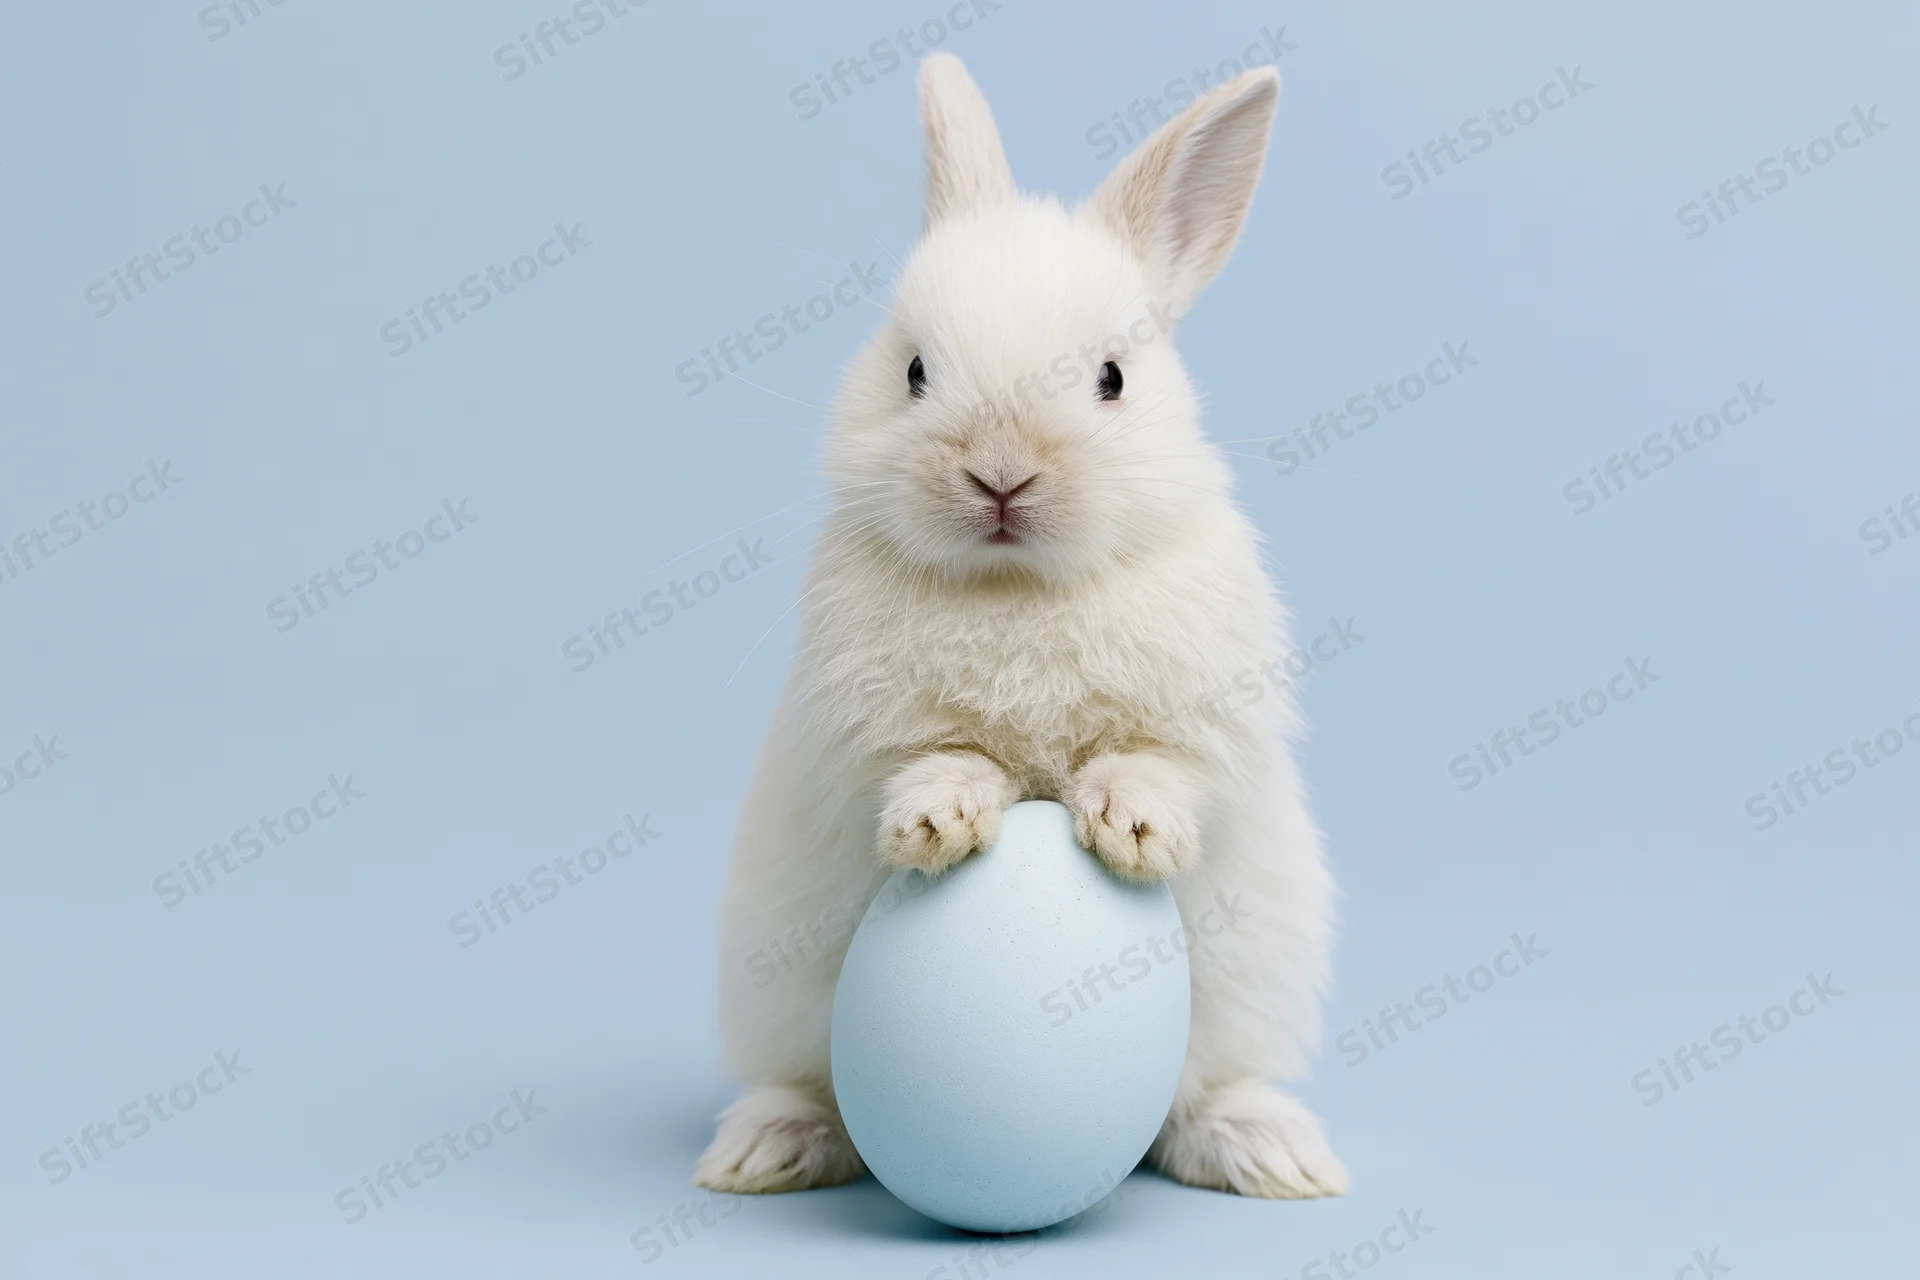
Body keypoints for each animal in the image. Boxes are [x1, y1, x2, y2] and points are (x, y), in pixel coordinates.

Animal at [693, 51, 1344, 1202]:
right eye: (913, 370)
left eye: (1113, 378)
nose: (1001, 475)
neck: (1016, 587)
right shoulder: (854, 737)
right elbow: (930, 757)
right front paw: (939, 821)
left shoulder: (1210, 726)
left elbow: (1163, 765)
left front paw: (1132, 827)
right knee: (813, 1092)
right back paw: (765, 1148)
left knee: (1198, 1104)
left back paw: (1274, 1151)